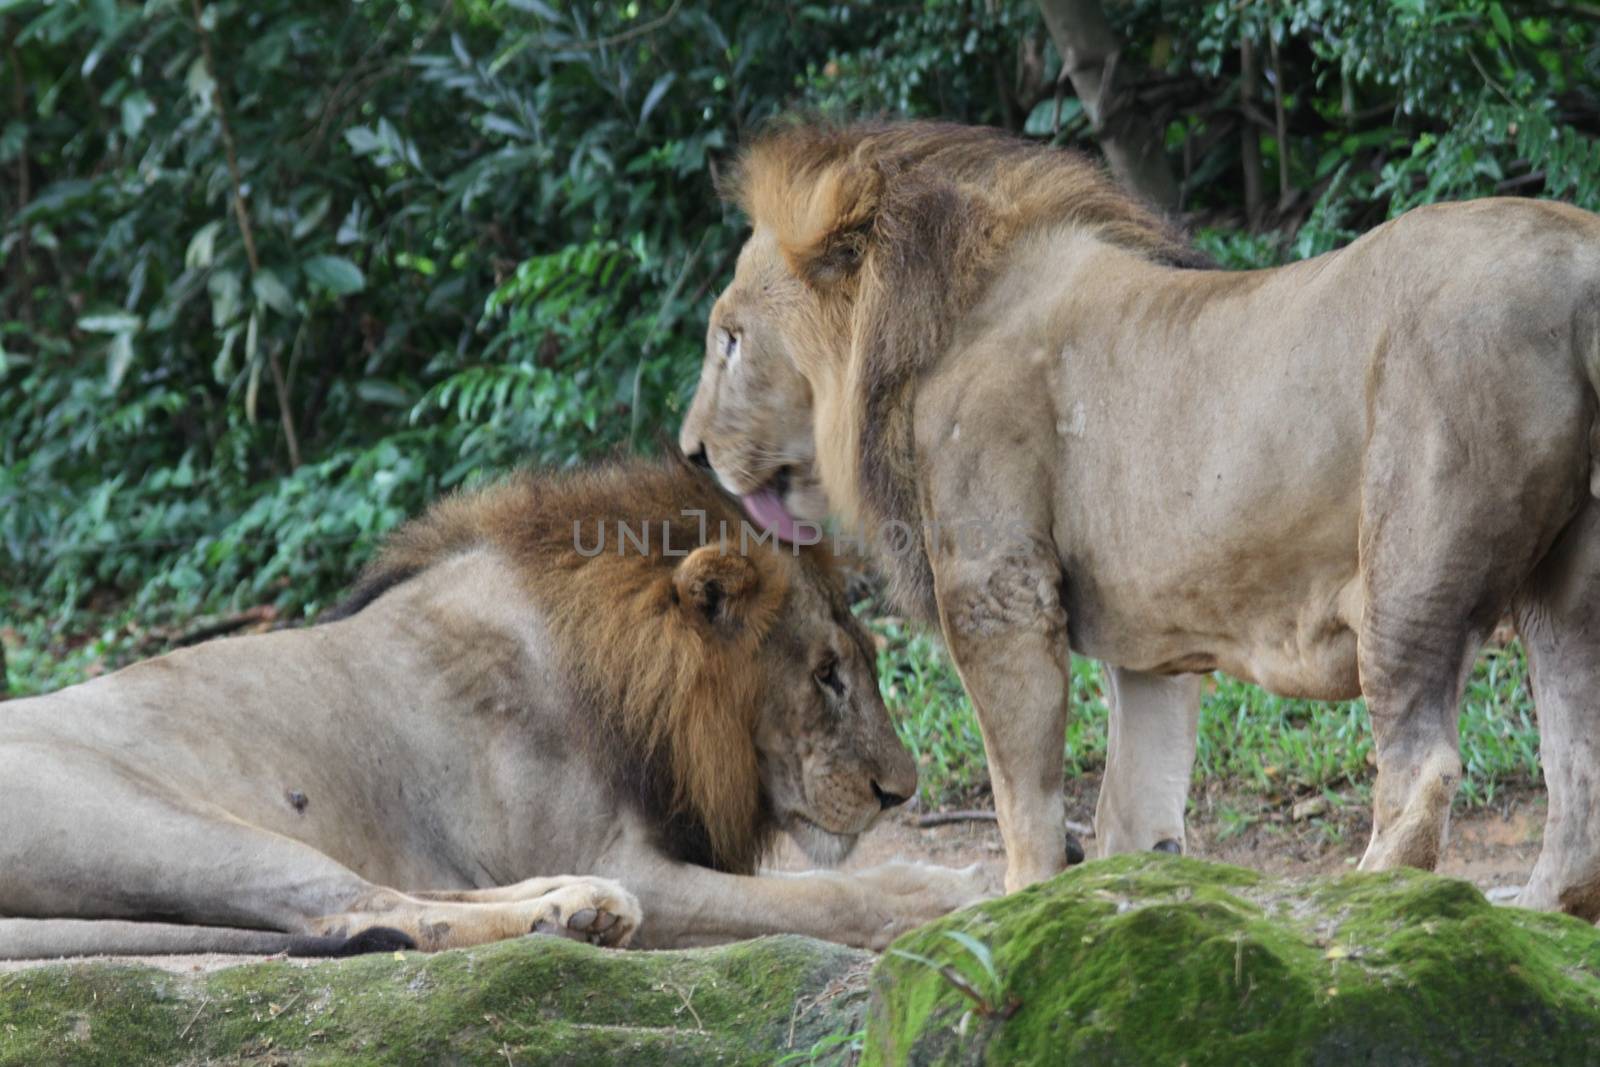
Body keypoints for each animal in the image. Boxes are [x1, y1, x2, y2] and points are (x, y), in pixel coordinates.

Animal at [0, 454, 985, 959]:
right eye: (826, 673)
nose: (902, 791)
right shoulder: (632, 854)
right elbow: (817, 895)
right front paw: (942, 889)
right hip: (175, 826)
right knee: (359, 910)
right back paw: (574, 914)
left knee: (400, 889)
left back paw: (582, 906)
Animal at [678, 115, 1600, 921]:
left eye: (731, 338)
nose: (688, 449)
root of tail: (1582, 268)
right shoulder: (1153, 647)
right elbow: (1136, 807)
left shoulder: (999, 593)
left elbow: (1025, 796)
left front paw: (1021, 907)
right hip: (1563, 594)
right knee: (1577, 767)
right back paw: (1538, 915)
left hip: (1411, 565)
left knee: (1424, 767)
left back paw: (1360, 905)